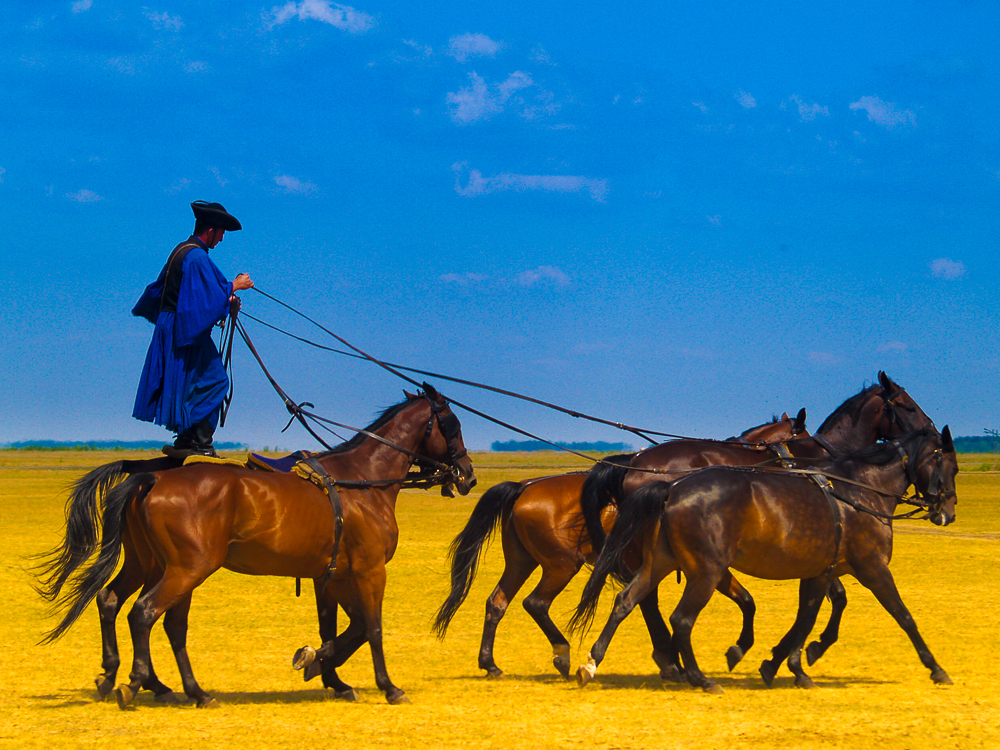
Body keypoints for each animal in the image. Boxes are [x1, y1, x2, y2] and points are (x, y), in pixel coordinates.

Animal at [37, 388, 474, 712]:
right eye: (452, 425)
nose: (467, 474)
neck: (362, 482)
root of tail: (153, 478)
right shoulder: (369, 571)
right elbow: (372, 627)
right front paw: (387, 686)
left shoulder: (330, 575)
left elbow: (341, 628)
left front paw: (322, 666)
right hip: (186, 569)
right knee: (145, 614)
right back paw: (137, 682)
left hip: (150, 565)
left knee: (123, 605)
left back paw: (156, 684)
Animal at [434, 412, 808, 680]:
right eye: (805, 440)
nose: (805, 478)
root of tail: (524, 486)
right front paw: (677, 658)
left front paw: (671, 658)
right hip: (560, 565)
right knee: (535, 603)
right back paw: (563, 654)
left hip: (522, 561)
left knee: (497, 602)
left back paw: (491, 664)